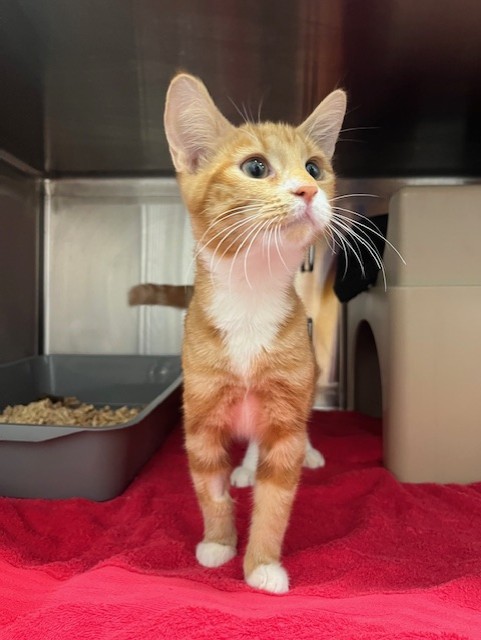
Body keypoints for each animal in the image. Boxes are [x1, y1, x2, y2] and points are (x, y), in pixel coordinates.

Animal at [159, 73, 346, 594]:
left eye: (315, 168)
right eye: (256, 167)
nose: (307, 190)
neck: (250, 300)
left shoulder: (284, 415)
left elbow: (275, 501)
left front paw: (261, 565)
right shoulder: (201, 417)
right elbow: (210, 489)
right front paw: (218, 542)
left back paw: (307, 454)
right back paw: (243, 470)